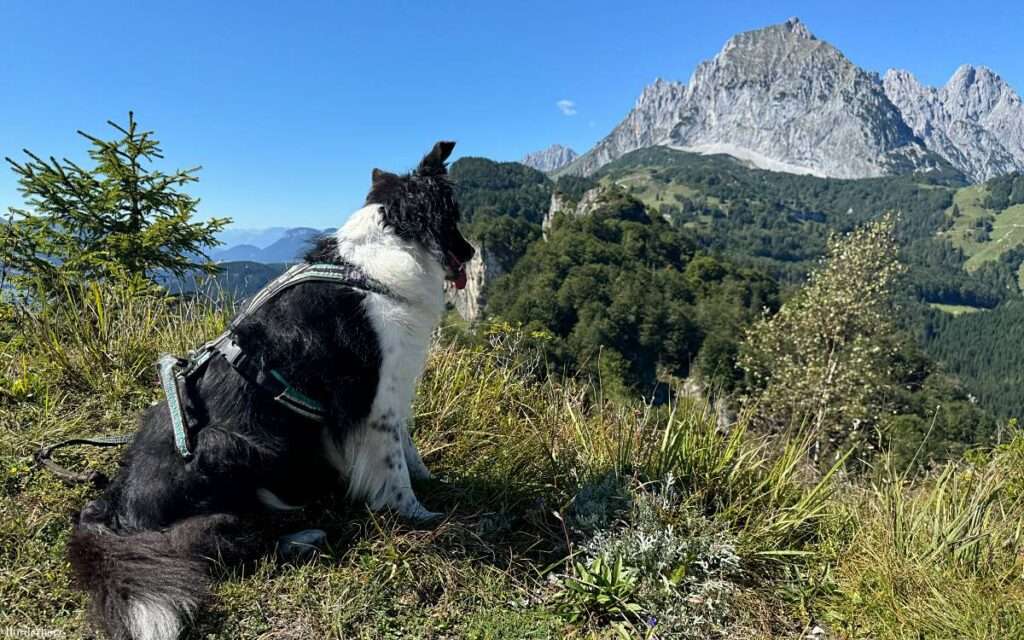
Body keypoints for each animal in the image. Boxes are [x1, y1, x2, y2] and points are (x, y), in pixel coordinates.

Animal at [68, 141, 475, 638]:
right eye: (452, 217)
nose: (471, 252)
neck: (372, 264)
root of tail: (115, 507)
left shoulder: (392, 390)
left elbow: (407, 446)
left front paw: (431, 481)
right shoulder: (372, 398)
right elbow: (393, 468)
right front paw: (419, 515)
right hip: (228, 447)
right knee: (229, 545)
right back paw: (302, 537)